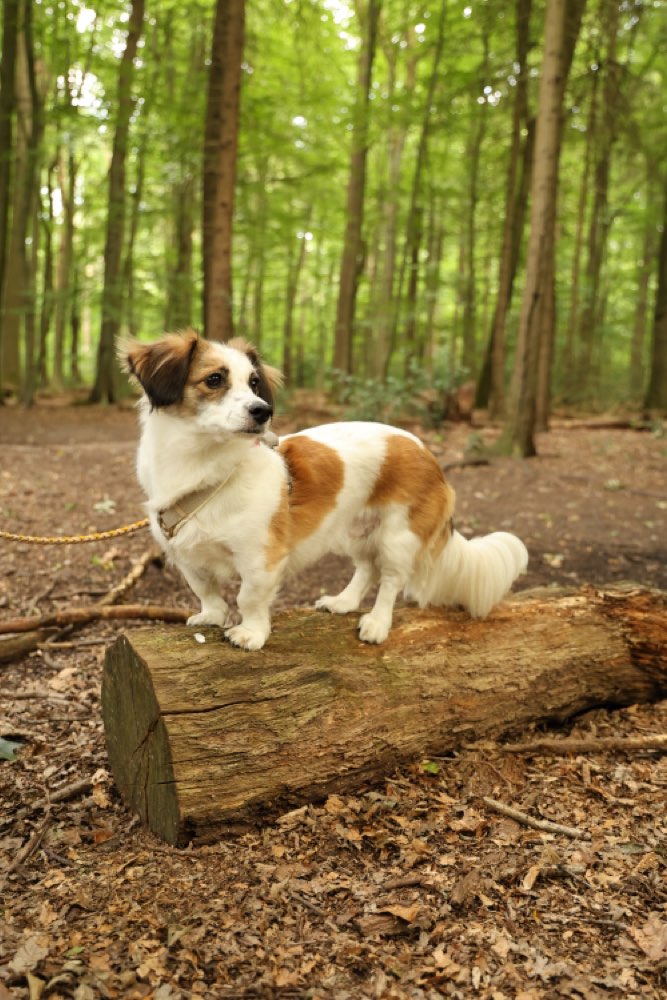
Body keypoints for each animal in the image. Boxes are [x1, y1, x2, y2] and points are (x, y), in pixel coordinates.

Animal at [124, 332, 528, 652]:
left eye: (254, 384)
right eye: (214, 379)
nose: (262, 411)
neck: (206, 469)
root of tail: (426, 452)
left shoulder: (261, 557)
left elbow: (248, 596)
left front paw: (251, 633)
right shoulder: (185, 553)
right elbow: (205, 589)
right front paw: (212, 615)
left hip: (399, 537)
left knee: (390, 581)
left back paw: (377, 623)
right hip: (356, 531)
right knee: (367, 569)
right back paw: (344, 602)